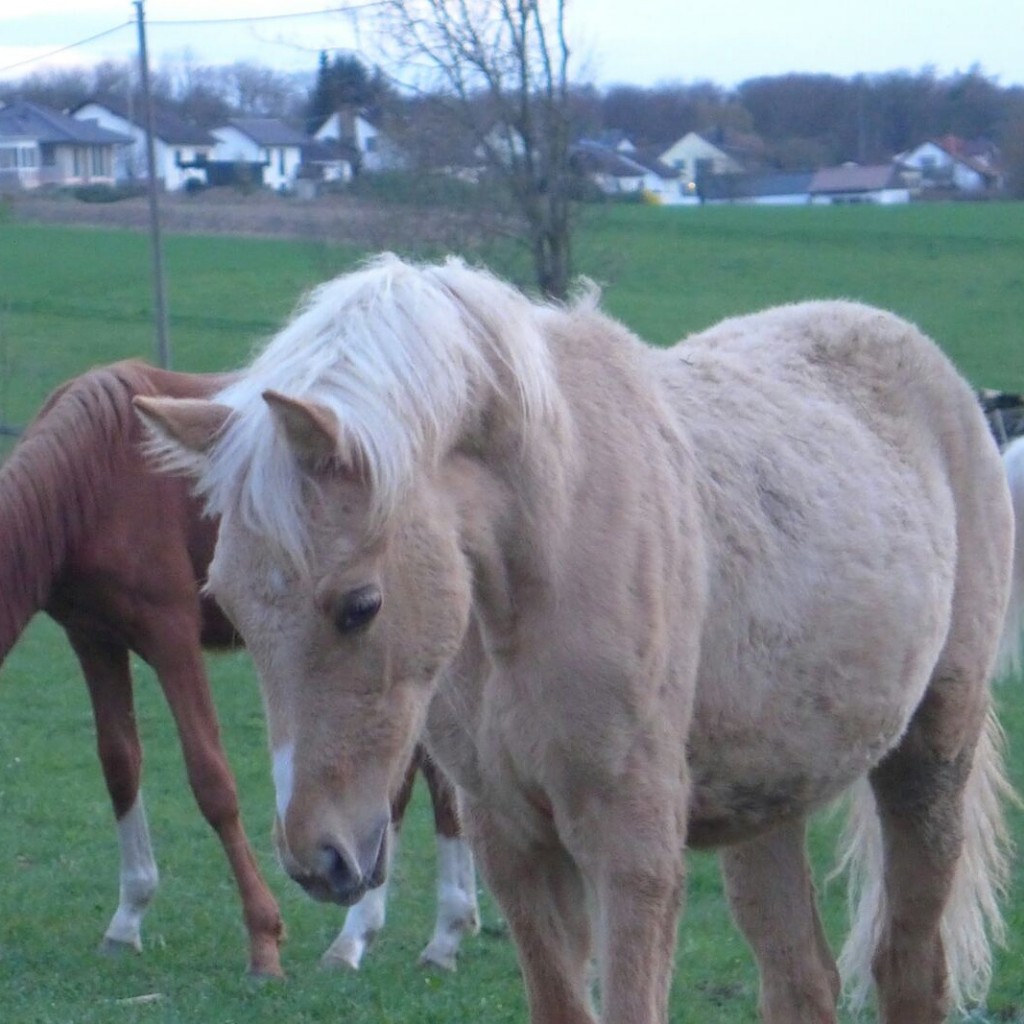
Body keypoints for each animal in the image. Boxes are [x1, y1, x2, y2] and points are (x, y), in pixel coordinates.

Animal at [0, 362, 477, 974]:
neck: (94, 477)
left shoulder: (170, 635)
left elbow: (211, 779)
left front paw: (264, 938)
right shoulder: (93, 638)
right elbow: (120, 764)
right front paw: (127, 918)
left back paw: (386, 934)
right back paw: (433, 933)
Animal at [136, 256, 1015, 1024]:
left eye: (360, 606)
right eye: (229, 606)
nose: (316, 859)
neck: (543, 547)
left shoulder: (631, 852)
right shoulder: (515, 845)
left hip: (929, 763)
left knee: (909, 967)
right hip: (770, 803)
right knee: (802, 979)